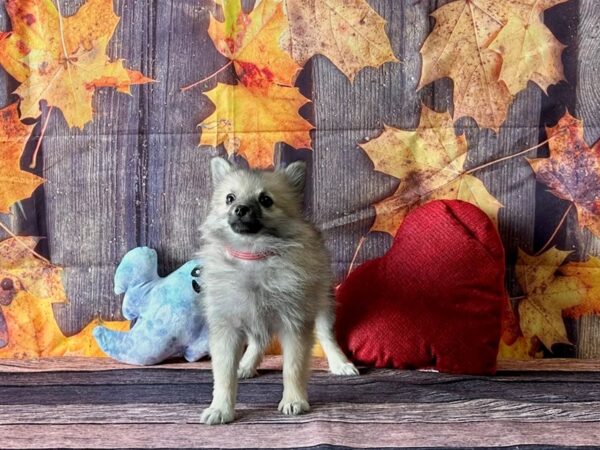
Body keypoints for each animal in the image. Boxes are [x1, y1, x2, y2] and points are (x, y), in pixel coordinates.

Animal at [199, 157, 358, 426]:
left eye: (266, 200)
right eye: (230, 198)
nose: (240, 208)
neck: (253, 255)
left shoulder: (294, 323)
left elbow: (292, 367)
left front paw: (294, 400)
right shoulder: (227, 326)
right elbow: (223, 374)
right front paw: (220, 408)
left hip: (323, 301)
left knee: (326, 335)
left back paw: (340, 363)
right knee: (258, 341)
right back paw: (246, 364)